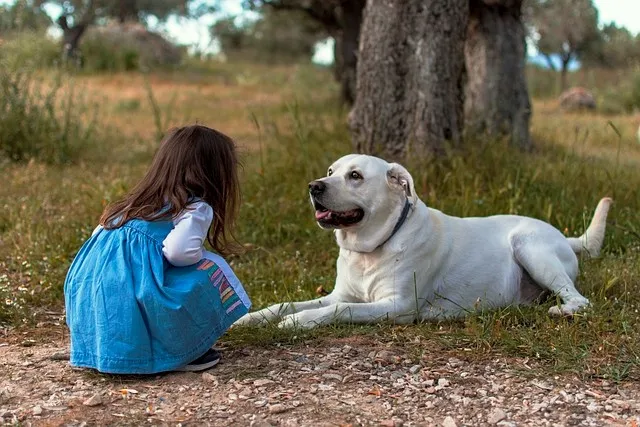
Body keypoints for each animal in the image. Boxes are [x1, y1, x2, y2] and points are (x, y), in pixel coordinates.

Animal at [235, 155, 608, 330]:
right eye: (330, 171)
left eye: (355, 176)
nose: (314, 186)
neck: (371, 249)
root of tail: (565, 236)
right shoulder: (340, 294)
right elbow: (286, 304)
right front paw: (251, 318)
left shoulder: (397, 306)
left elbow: (340, 311)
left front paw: (299, 322)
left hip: (530, 247)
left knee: (580, 299)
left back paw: (563, 311)